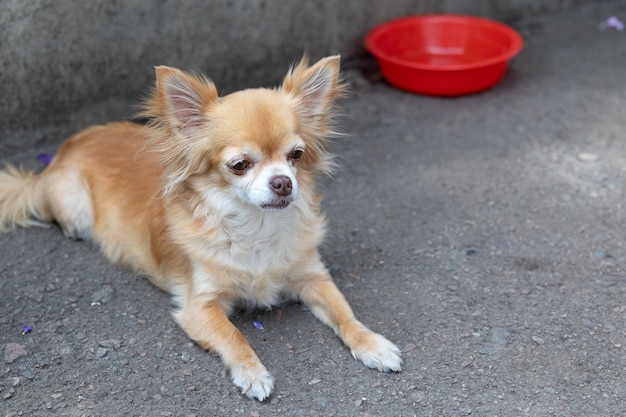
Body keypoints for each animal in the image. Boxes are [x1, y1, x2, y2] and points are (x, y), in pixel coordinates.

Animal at [0, 56, 400, 400]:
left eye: (296, 156)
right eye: (240, 164)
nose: (284, 183)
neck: (256, 226)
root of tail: (59, 154)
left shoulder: (313, 277)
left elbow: (345, 314)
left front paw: (372, 343)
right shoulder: (200, 306)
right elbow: (233, 335)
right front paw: (252, 373)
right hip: (74, 202)